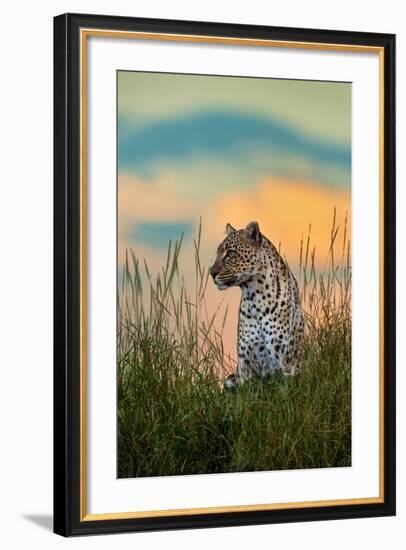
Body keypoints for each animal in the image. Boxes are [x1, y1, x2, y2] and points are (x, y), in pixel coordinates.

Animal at [211, 222, 302, 390]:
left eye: (230, 253)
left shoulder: (285, 363)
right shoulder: (245, 363)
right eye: (218, 252)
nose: (211, 273)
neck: (256, 297)